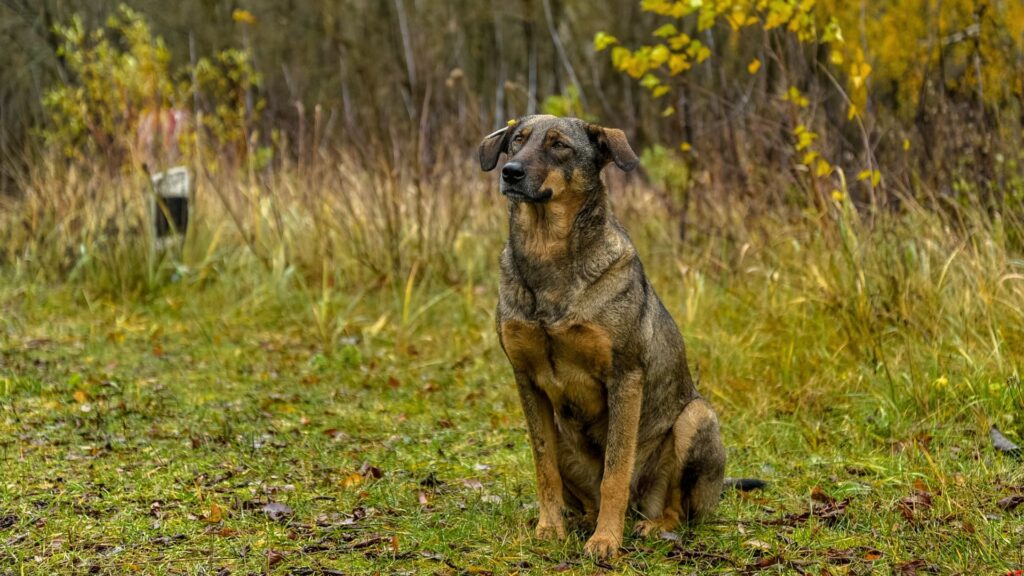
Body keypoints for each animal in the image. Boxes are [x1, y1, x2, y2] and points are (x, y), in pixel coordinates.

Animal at [479, 114, 729, 557]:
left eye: (559, 145)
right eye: (517, 141)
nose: (510, 172)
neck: (547, 253)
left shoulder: (624, 377)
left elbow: (616, 470)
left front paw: (606, 540)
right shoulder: (526, 380)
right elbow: (543, 467)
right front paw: (549, 528)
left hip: (696, 419)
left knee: (676, 509)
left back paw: (649, 526)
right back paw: (581, 520)